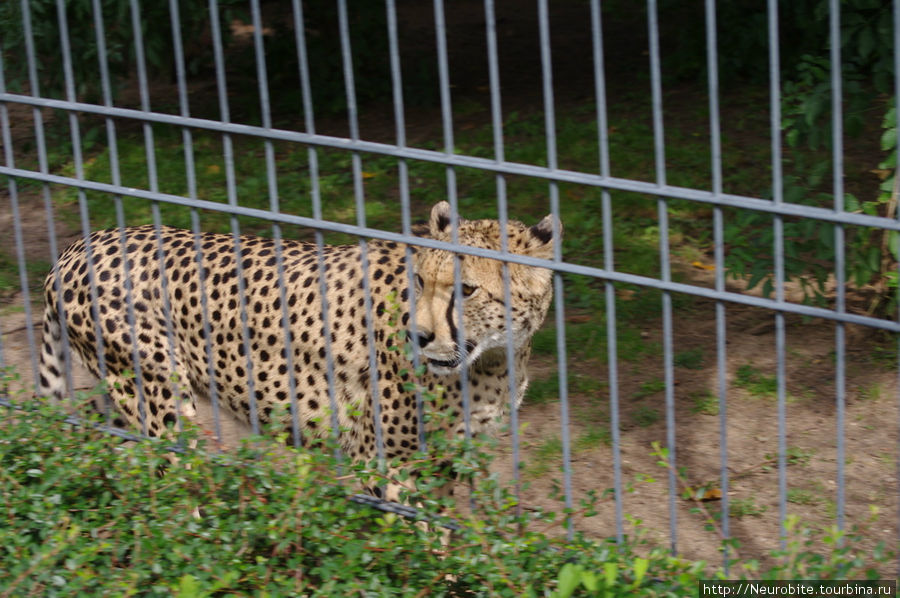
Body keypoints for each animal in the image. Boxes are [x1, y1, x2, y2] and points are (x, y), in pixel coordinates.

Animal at [38, 204, 560, 472]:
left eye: (466, 290)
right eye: (419, 282)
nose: (418, 333)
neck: (492, 357)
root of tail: (79, 244)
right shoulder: (389, 462)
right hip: (161, 401)